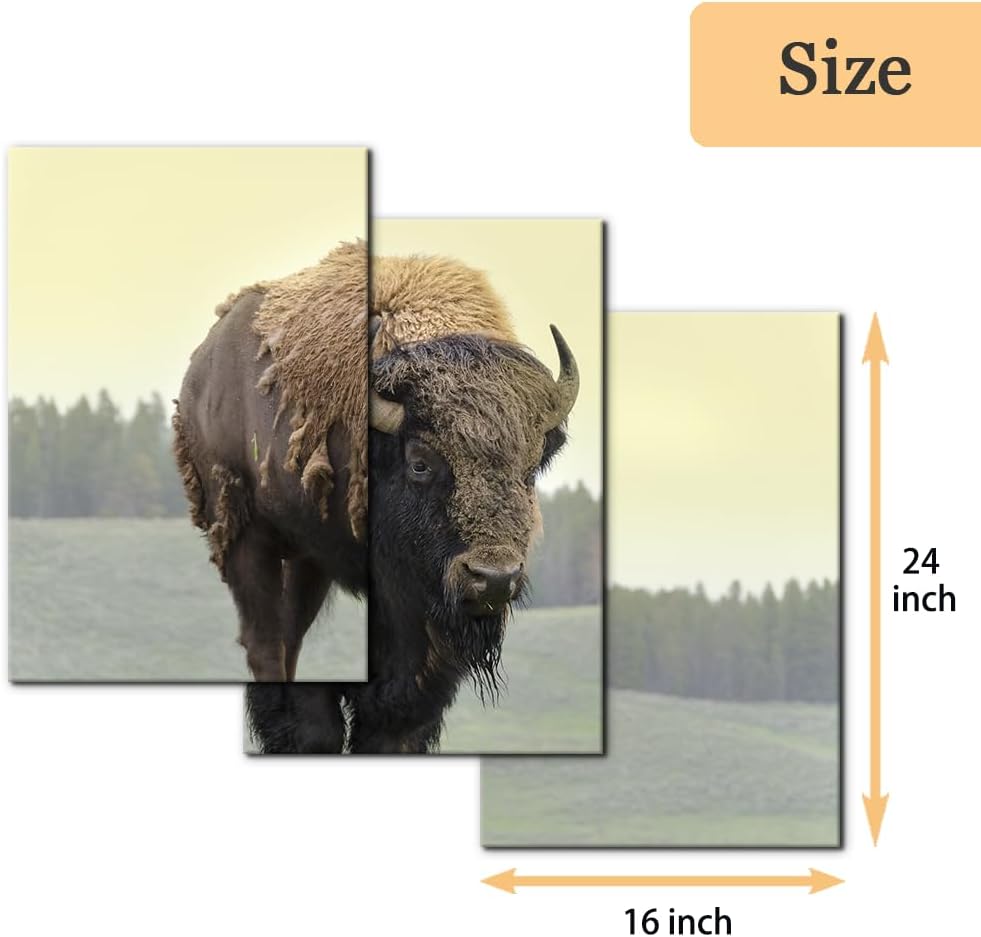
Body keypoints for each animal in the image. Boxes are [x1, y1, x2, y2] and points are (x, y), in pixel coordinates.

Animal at [173, 242, 578, 752]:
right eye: (420, 462)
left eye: (530, 468)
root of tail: (203, 365)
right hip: (247, 534)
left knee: (292, 637)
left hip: (309, 561)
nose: (493, 578)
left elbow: (403, 711)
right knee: (267, 646)